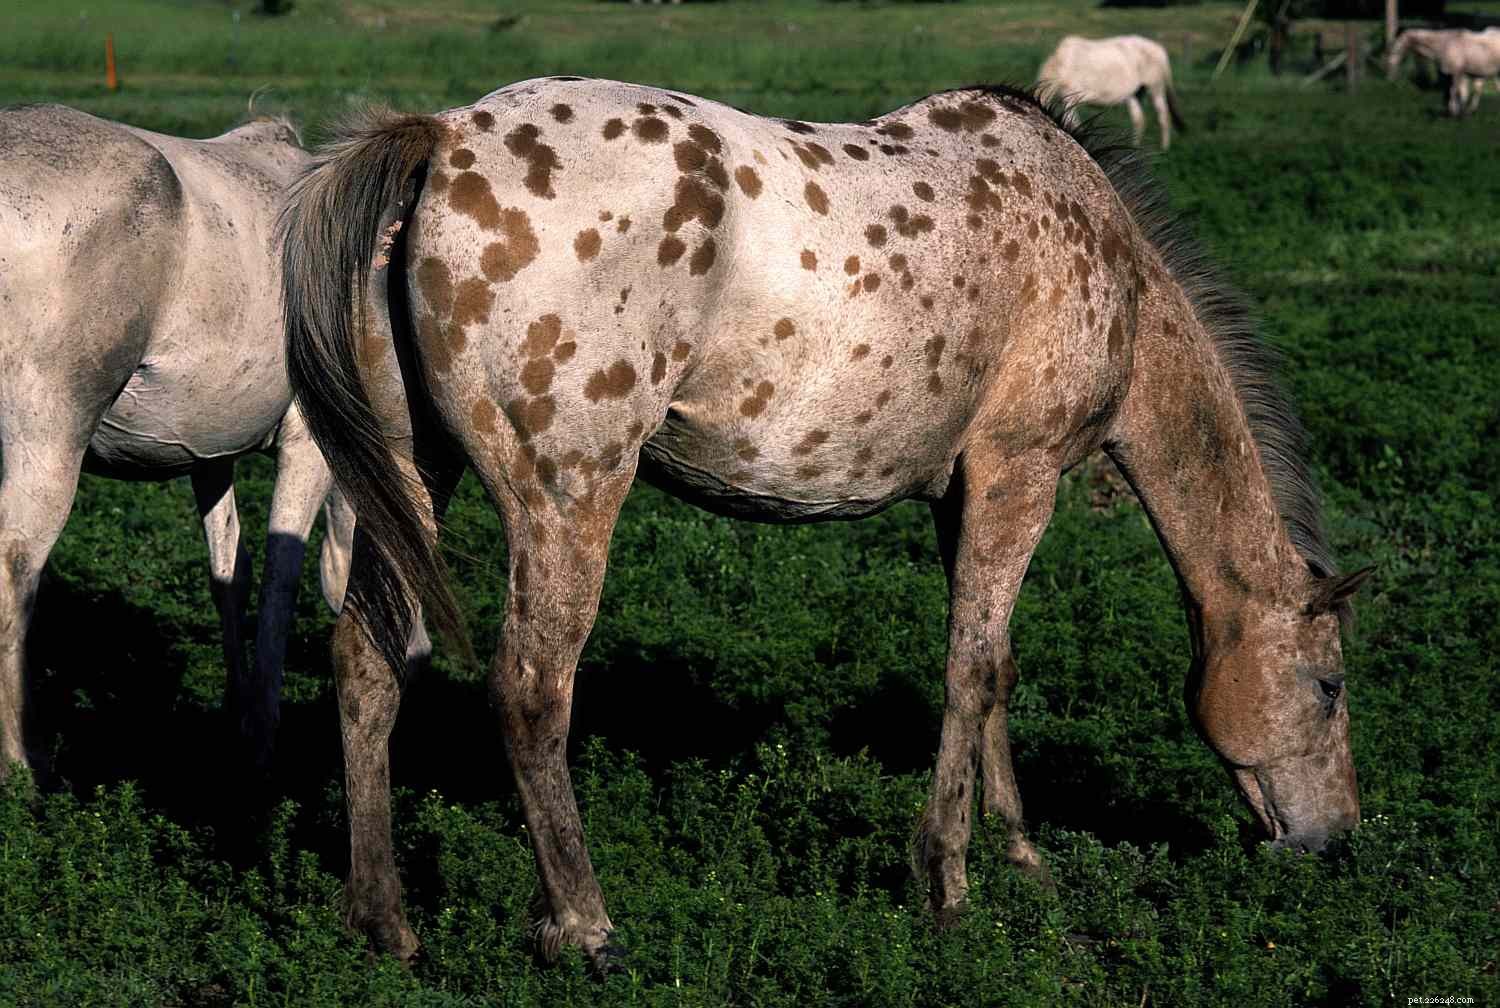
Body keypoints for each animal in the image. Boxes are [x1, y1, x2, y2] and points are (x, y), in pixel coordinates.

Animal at [0, 104, 363, 780]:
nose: (423, 660)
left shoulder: (208, 454)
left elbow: (230, 571)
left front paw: (236, 713)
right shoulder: (308, 447)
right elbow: (283, 574)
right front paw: (261, 740)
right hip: (48, 440)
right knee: (16, 565)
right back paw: (21, 761)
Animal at [280, 78, 1370, 970]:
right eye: (1329, 686)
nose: (1342, 838)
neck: (1107, 264)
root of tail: (441, 139)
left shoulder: (963, 497)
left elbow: (996, 667)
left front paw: (1021, 858)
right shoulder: (1019, 476)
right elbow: (973, 670)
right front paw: (948, 885)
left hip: (416, 470)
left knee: (369, 658)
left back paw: (384, 923)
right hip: (570, 491)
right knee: (532, 687)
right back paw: (587, 929)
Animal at [1037, 36, 1186, 150]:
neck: (1060, 65)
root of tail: (1160, 49)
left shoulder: (1071, 98)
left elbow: (1073, 124)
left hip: (1155, 88)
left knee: (1163, 116)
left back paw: (1164, 148)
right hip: (1135, 95)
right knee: (1139, 119)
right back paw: (1135, 147)